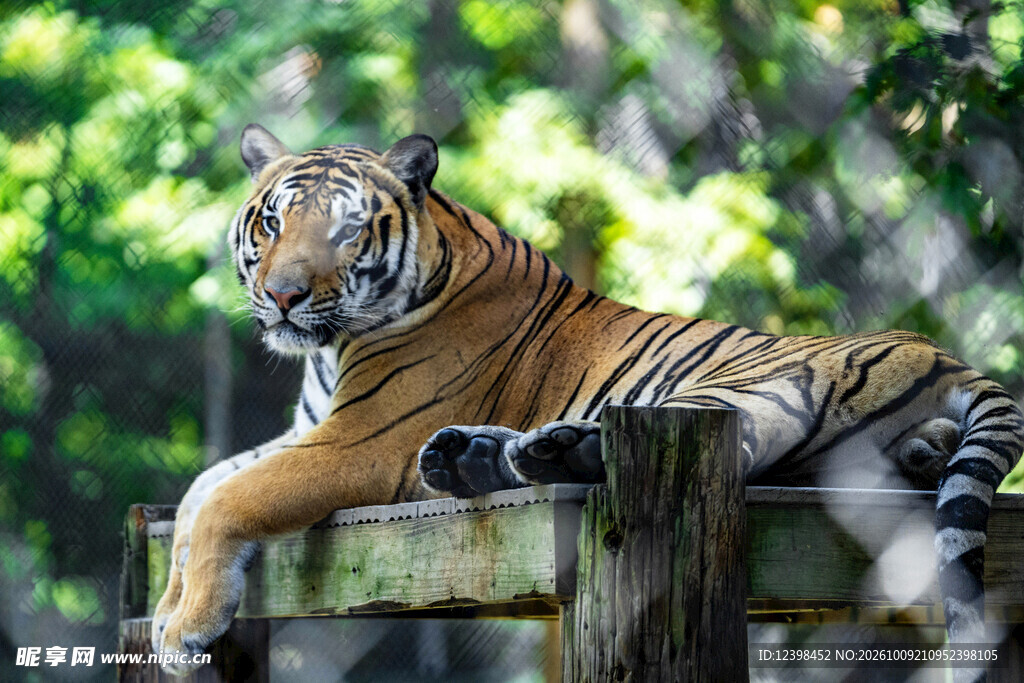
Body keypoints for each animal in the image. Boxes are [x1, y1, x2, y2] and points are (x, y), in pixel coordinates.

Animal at [152, 124, 1023, 681]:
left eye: (345, 232)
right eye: (272, 221)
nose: (283, 296)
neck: (328, 352)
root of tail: (940, 353)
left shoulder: (359, 442)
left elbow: (232, 498)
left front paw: (186, 625)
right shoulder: (303, 430)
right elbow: (199, 492)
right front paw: (165, 606)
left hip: (747, 387)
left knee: (729, 446)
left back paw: (536, 450)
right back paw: (476, 455)